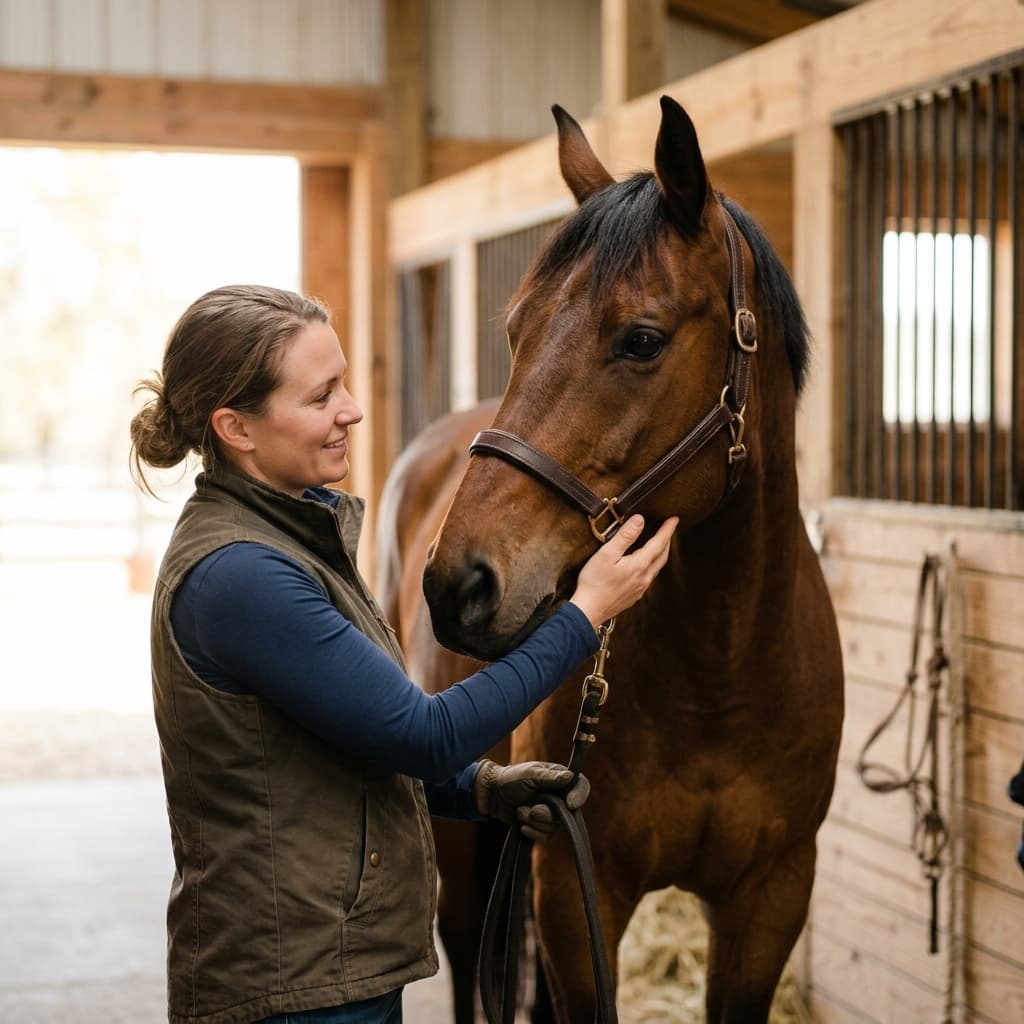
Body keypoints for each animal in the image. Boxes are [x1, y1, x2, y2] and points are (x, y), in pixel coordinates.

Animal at [381, 96, 844, 1024]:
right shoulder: (572, 885)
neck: (721, 671)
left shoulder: (771, 896)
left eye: (641, 340)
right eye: (516, 330)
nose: (458, 584)